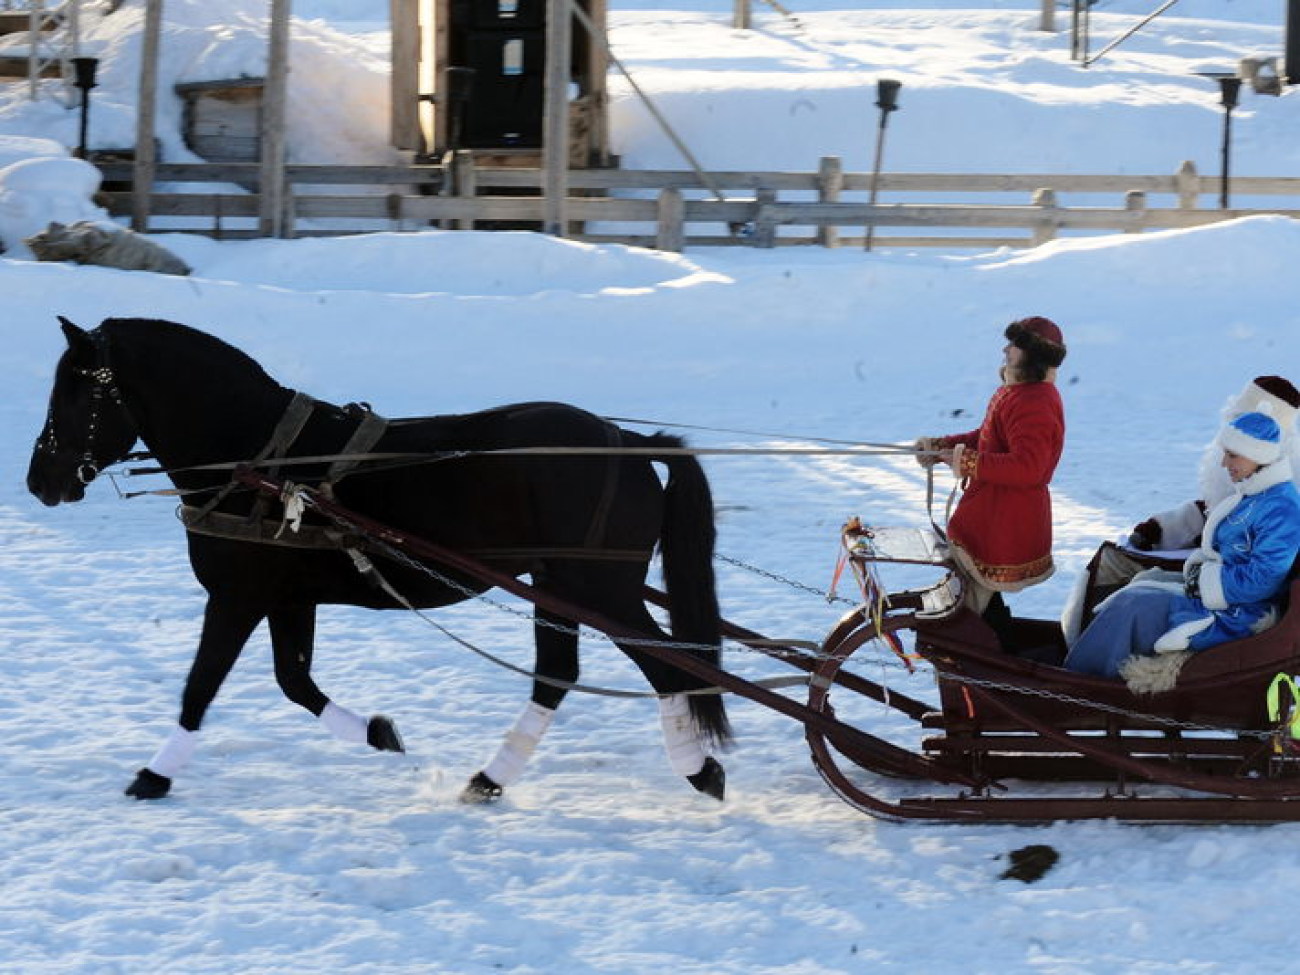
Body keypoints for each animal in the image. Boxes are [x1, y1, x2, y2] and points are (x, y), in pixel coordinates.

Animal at [25, 317, 733, 806]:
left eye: (73, 393)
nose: (40, 480)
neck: (261, 460)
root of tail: (628, 443)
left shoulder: (237, 594)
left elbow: (201, 685)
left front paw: (153, 775)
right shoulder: (287, 597)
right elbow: (295, 681)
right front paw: (379, 733)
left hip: (597, 587)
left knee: (666, 669)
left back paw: (699, 770)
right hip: (558, 587)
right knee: (559, 675)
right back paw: (490, 779)